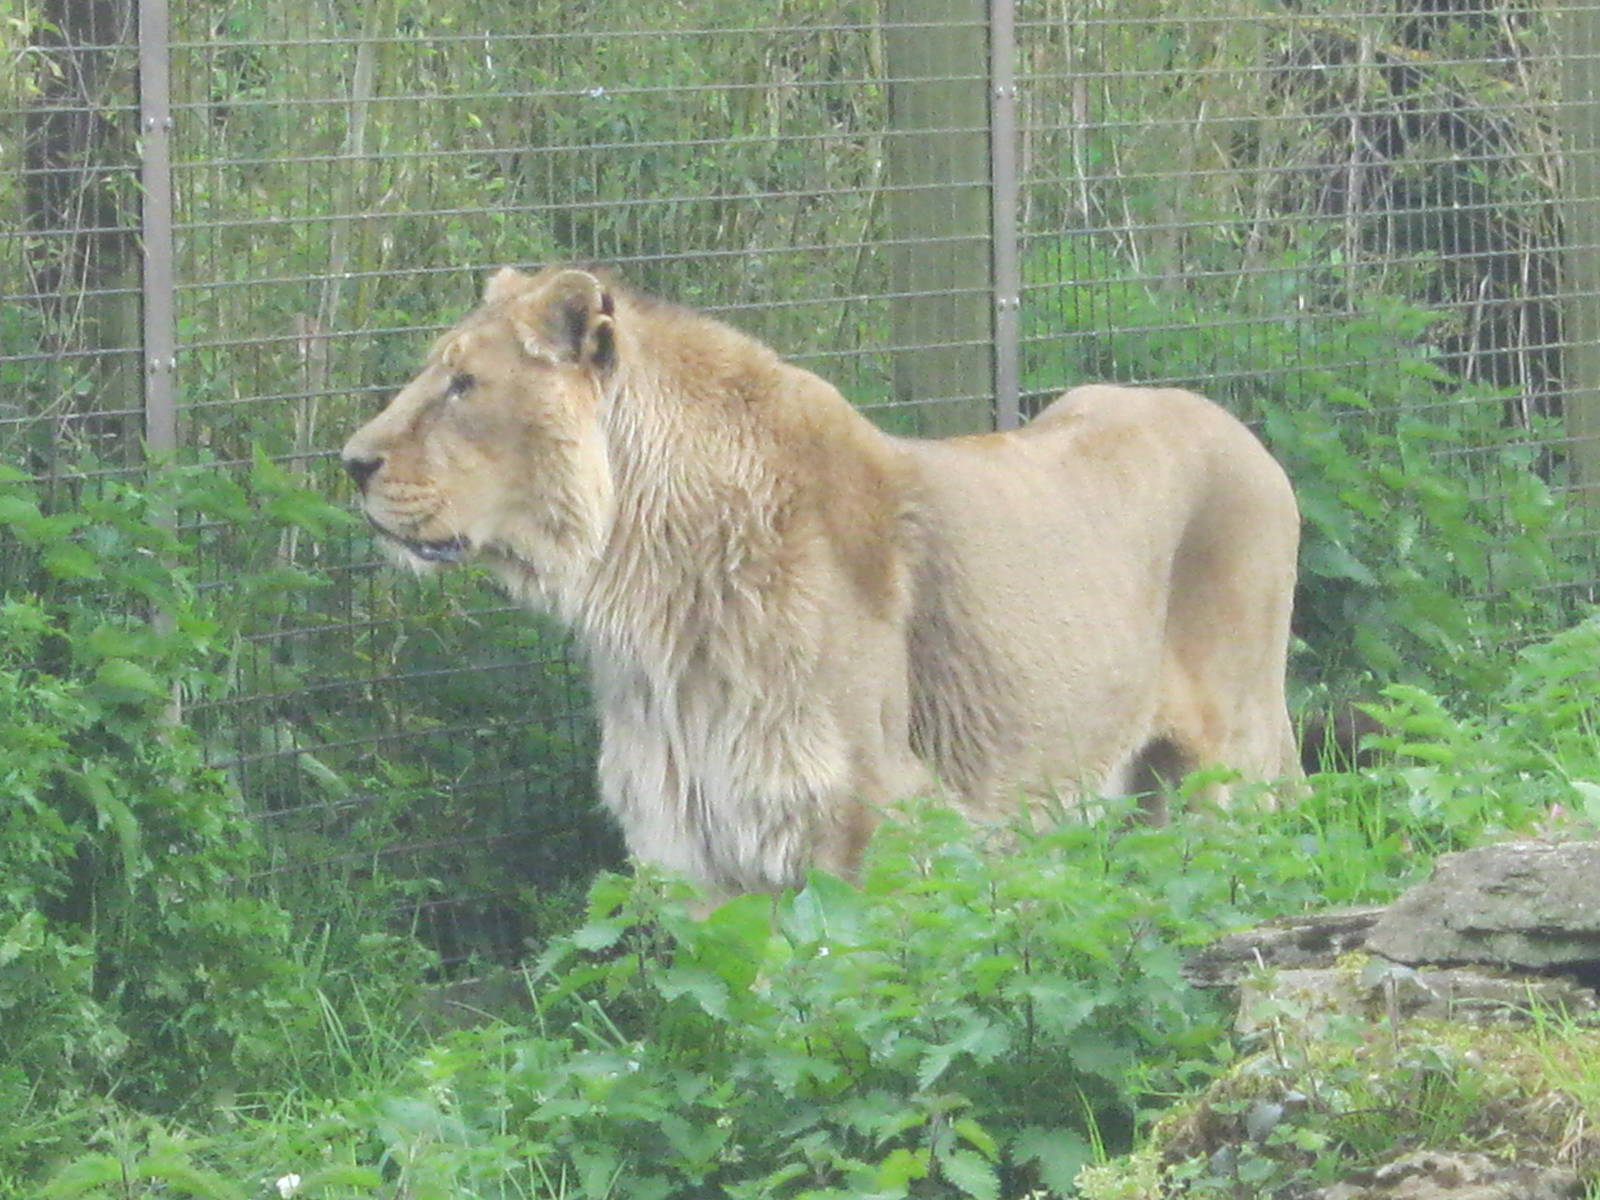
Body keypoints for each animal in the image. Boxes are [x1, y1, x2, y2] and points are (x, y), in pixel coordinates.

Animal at [340, 264, 1302, 896]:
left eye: (463, 384)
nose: (350, 462)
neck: (641, 593)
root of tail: (1241, 433)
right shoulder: (693, 839)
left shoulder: (872, 809)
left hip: (1240, 757)